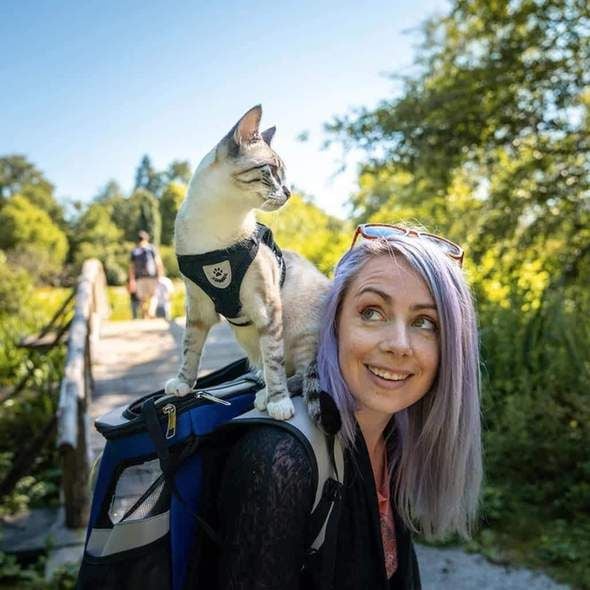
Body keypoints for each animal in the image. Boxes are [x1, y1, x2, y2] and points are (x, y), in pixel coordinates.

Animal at [164, 105, 330, 420]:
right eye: (271, 171)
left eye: (284, 175)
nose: (288, 192)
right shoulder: (198, 307)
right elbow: (190, 349)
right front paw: (182, 383)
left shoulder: (266, 307)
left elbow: (275, 362)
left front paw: (279, 403)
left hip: (302, 332)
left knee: (300, 375)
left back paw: (266, 397)